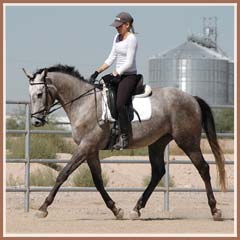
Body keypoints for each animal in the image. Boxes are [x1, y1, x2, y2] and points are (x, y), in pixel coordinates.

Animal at [23, 64, 226, 221]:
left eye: (40, 94)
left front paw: (42, 208)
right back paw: (136, 209)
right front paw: (116, 210)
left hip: (187, 141)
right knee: (158, 172)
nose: (36, 122)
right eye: (30, 94)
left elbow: (63, 174)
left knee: (203, 168)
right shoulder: (91, 150)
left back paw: (215, 210)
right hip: (158, 143)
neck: (84, 103)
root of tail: (192, 98)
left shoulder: (85, 146)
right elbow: (98, 181)